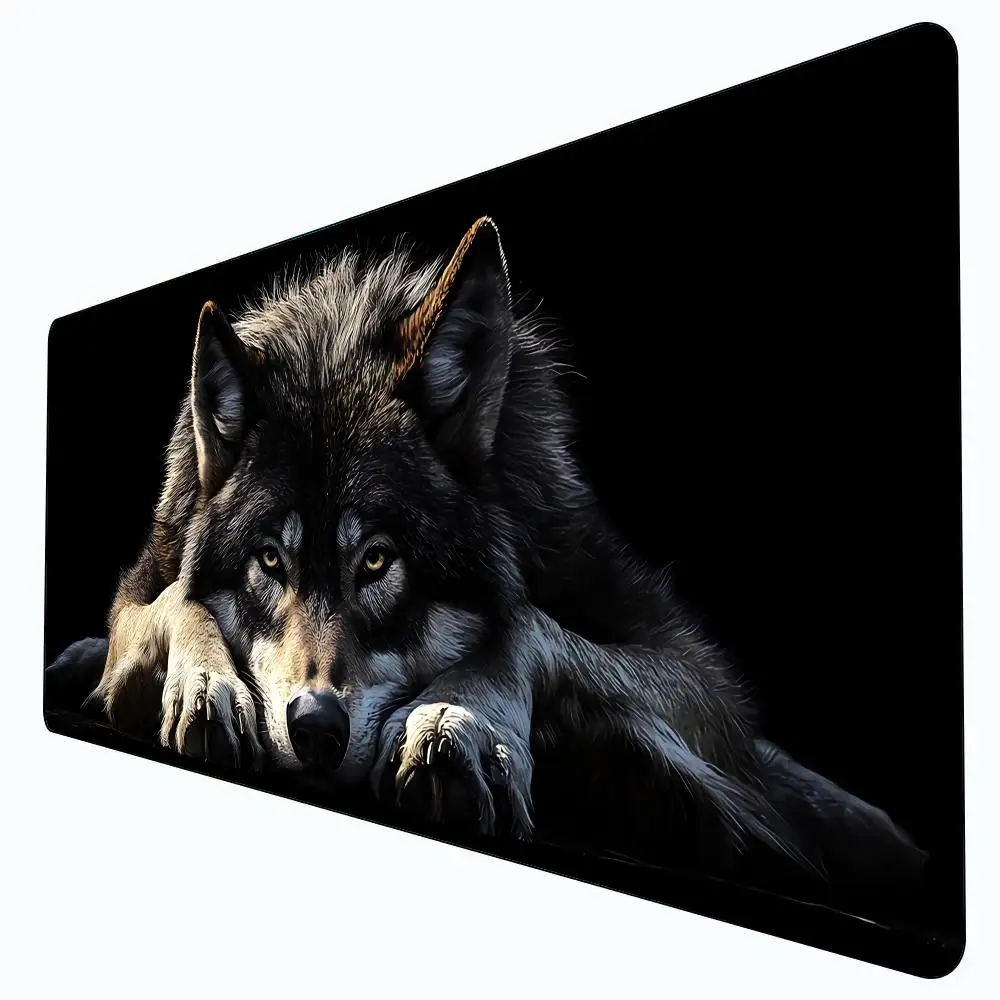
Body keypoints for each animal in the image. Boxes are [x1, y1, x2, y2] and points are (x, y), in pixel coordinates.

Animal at [57, 216, 925, 881]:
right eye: (270, 560)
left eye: (378, 560)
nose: (314, 727)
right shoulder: (143, 587)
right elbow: (176, 600)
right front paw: (204, 687)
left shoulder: (694, 677)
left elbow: (522, 625)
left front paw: (457, 719)